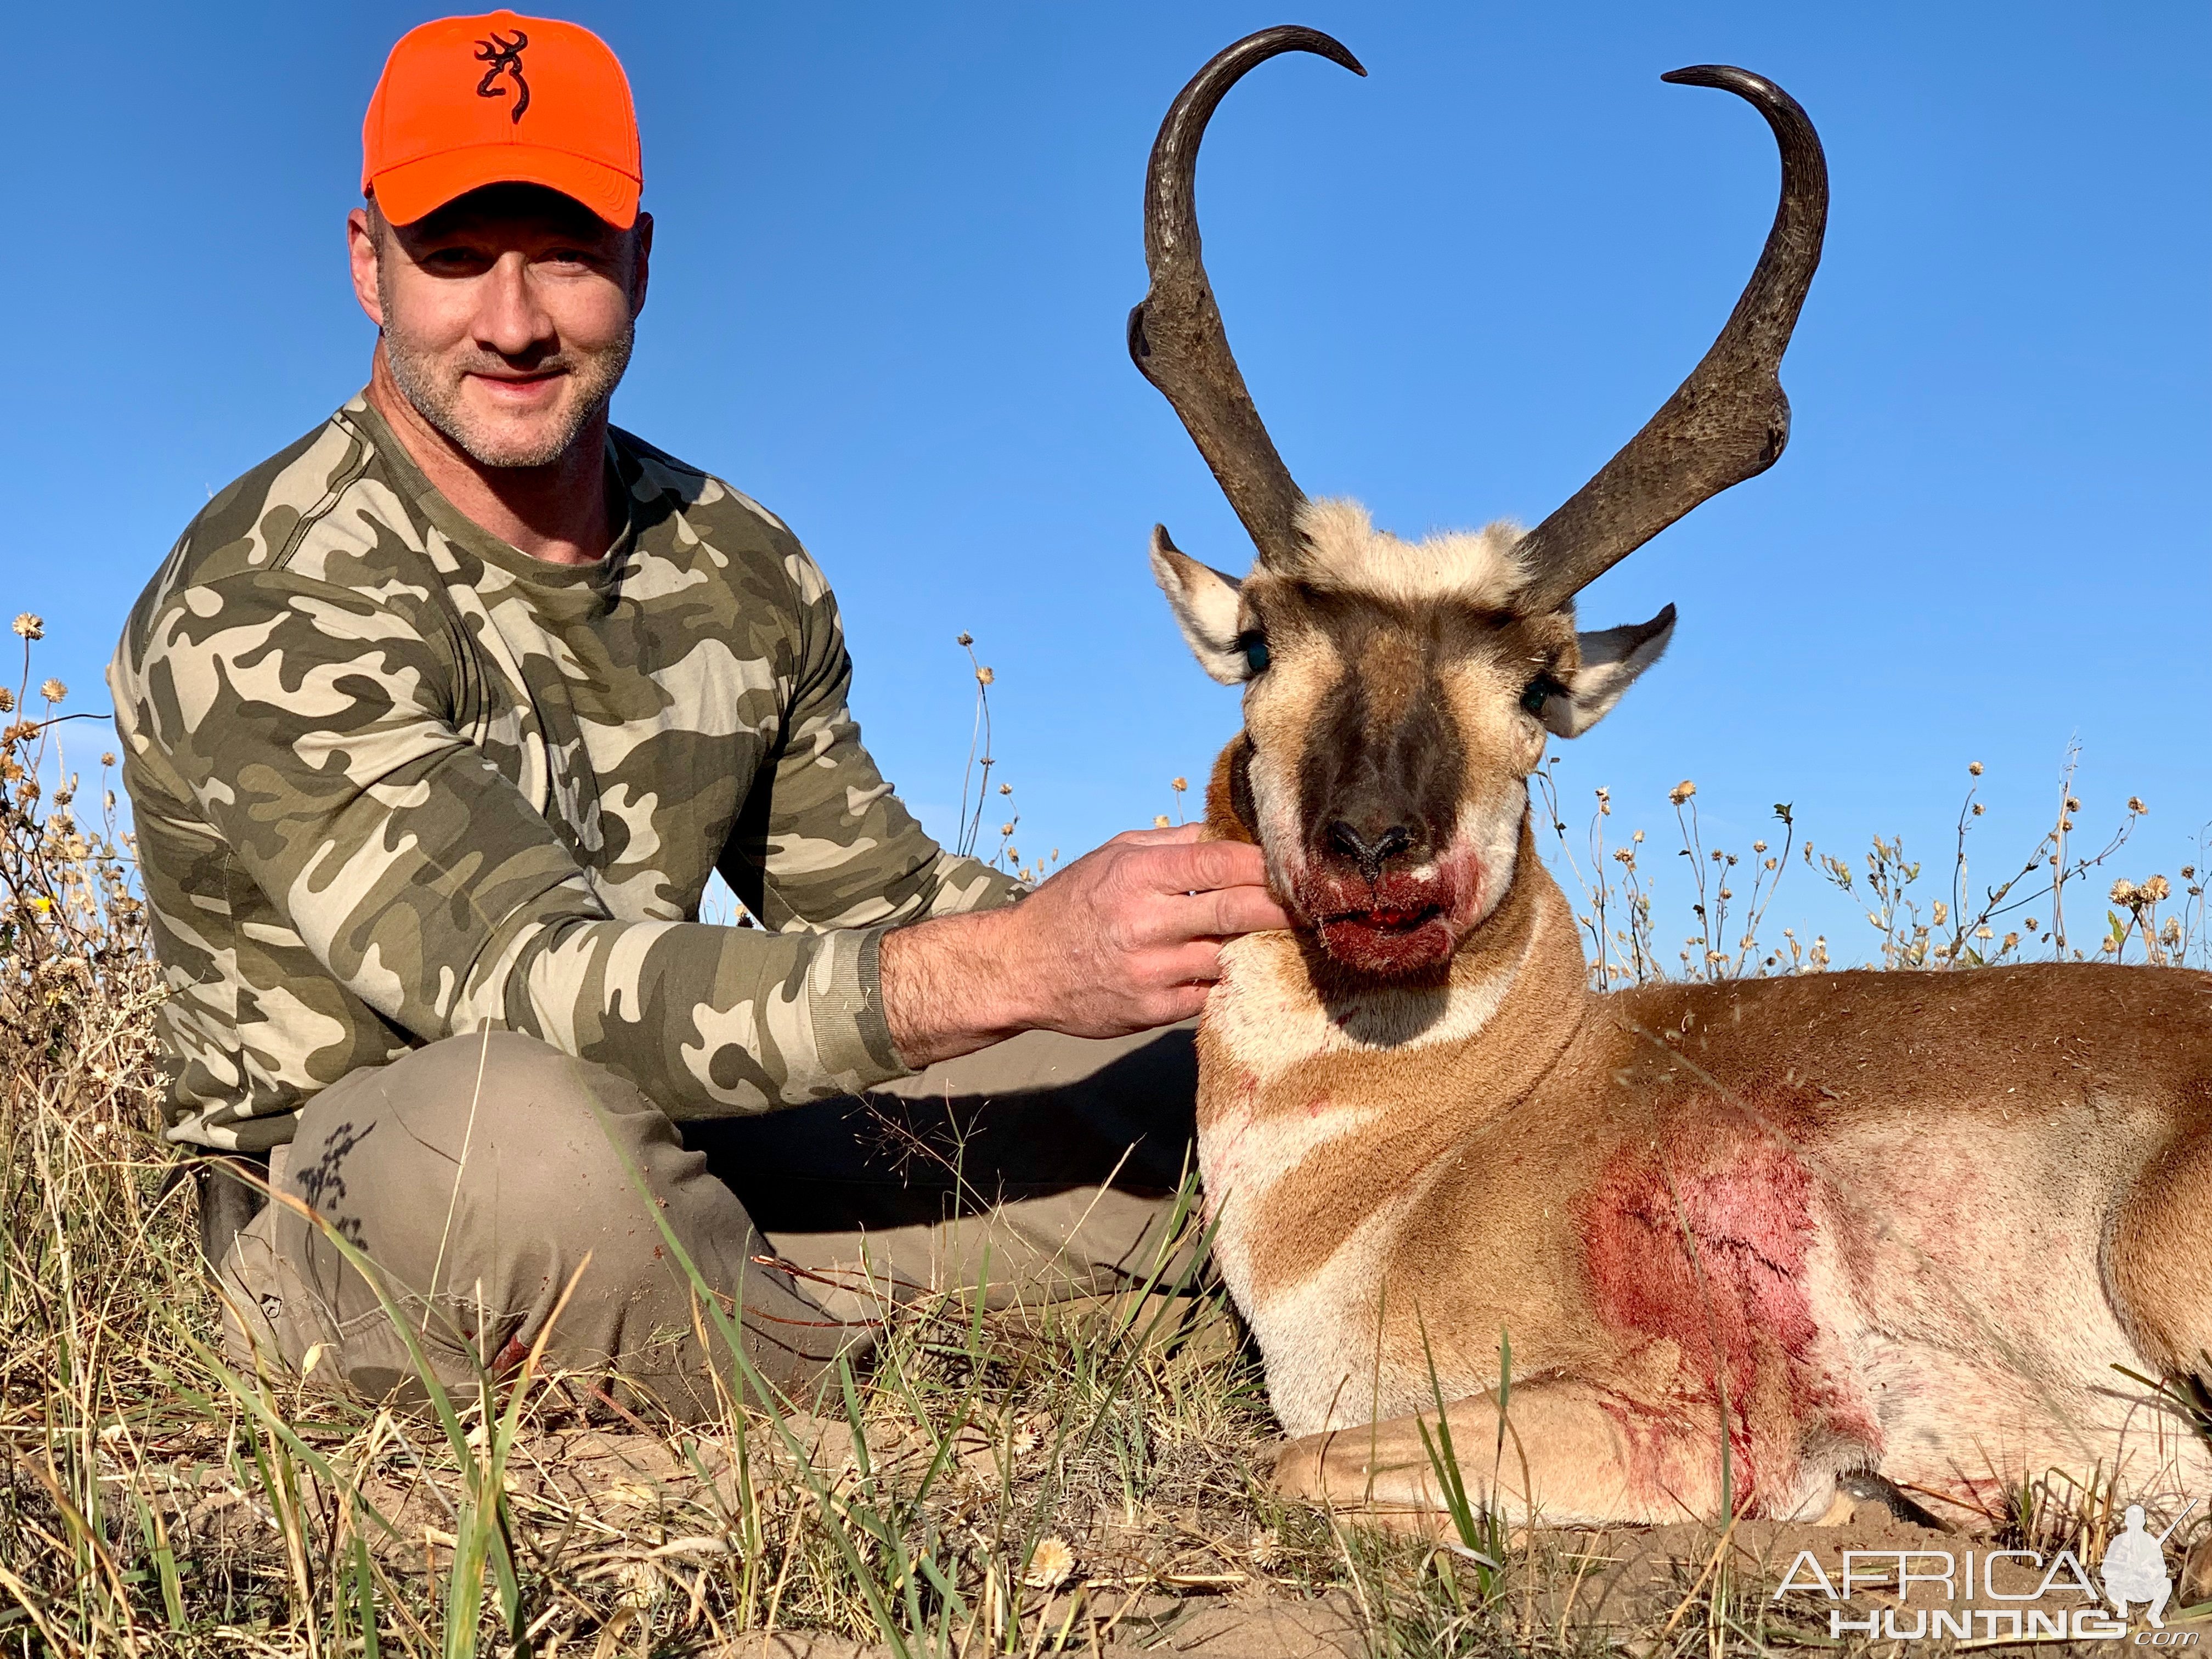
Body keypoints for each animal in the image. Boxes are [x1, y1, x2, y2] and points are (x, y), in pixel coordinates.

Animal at [1132, 29, 2212, 1531]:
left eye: (1539, 685)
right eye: (1262, 643)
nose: (1378, 847)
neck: (1472, 1128)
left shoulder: (1664, 1421)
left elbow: (1288, 1463)